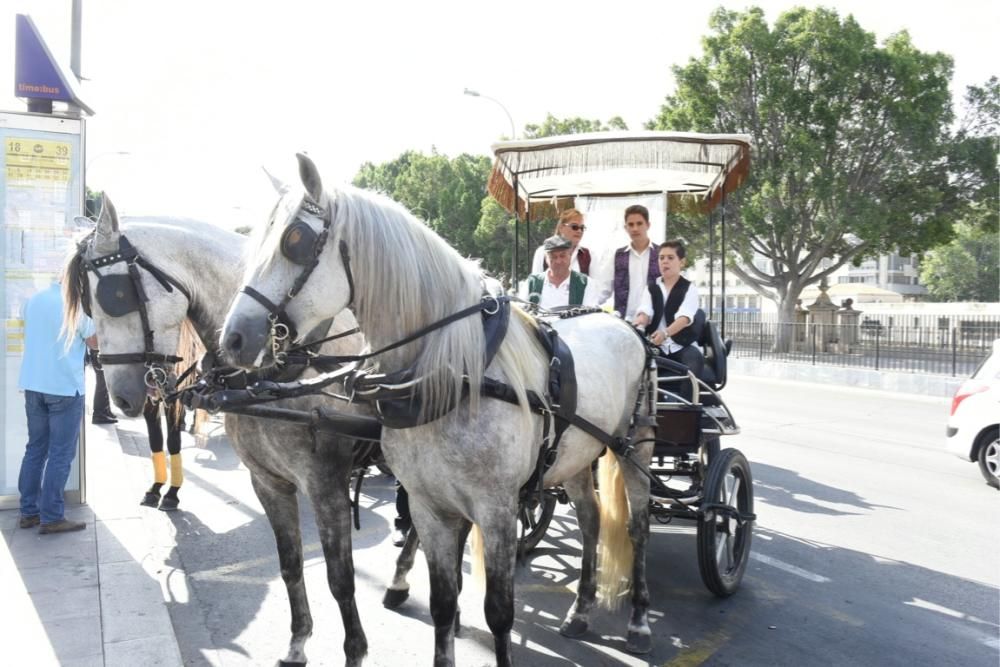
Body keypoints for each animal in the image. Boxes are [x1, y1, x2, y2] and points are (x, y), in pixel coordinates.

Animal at [63, 197, 376, 667]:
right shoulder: (267, 482)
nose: (121, 398)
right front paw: (298, 641)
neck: (281, 370)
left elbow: (341, 580)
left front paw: (354, 651)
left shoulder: (326, 486)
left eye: (115, 295)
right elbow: (291, 564)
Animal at [219, 157, 656, 667]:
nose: (234, 339)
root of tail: (621, 322)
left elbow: (498, 613)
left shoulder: (496, 509)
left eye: (294, 240)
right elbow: (444, 603)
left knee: (638, 526)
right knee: (589, 520)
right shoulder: (427, 504)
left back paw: (639, 620)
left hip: (634, 449)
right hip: (573, 458)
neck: (456, 373)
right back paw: (581, 610)